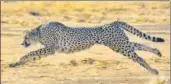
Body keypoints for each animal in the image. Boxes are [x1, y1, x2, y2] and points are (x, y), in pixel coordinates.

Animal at [9, 21, 164, 75]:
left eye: (26, 37)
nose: (22, 43)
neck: (40, 32)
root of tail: (113, 22)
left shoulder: (50, 48)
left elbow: (30, 53)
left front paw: (19, 60)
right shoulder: (48, 49)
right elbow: (32, 56)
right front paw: (16, 64)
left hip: (120, 45)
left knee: (139, 57)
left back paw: (153, 70)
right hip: (119, 45)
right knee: (137, 46)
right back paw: (157, 52)